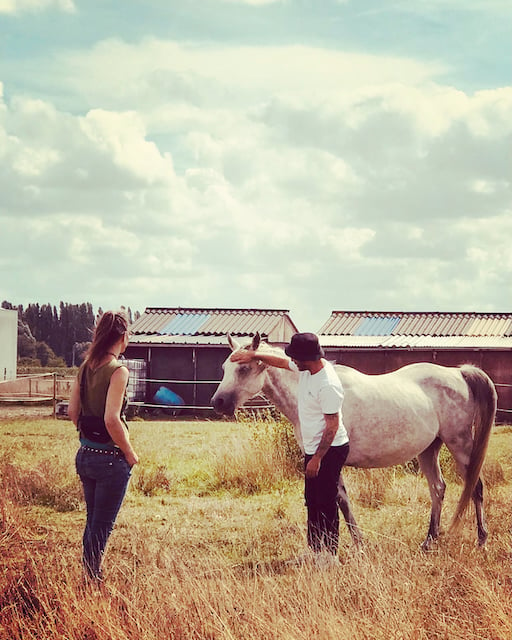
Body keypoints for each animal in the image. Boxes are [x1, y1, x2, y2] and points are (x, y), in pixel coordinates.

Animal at [211, 330, 496, 552]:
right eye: (224, 368)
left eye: (245, 368)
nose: (218, 402)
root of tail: (459, 373)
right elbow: (341, 500)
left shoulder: (329, 460)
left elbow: (340, 501)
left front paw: (356, 544)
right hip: (428, 449)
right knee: (437, 488)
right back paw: (429, 540)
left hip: (459, 443)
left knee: (476, 486)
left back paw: (481, 540)